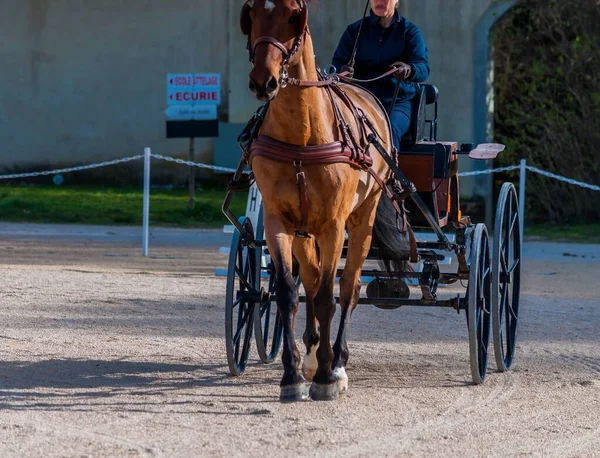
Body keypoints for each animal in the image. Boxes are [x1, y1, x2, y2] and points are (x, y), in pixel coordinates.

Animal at [239, 0, 412, 400]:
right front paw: (292, 374)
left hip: (360, 221)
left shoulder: (334, 225)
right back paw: (314, 352)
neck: (302, 136)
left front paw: (326, 377)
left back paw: (338, 361)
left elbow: (327, 298)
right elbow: (289, 293)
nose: (263, 81)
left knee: (348, 289)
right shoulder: (278, 222)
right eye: (251, 16)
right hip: (305, 232)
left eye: (293, 17)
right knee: (312, 278)